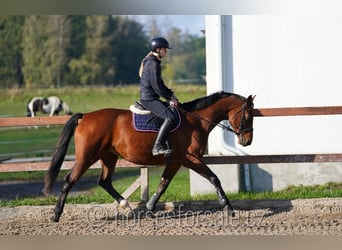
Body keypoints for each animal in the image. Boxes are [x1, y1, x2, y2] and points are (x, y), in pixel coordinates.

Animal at [42, 92, 254, 223]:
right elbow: (214, 178)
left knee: (104, 181)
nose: (247, 141)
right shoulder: (190, 159)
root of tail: (85, 116)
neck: (195, 121)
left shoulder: (175, 161)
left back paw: (126, 206)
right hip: (86, 157)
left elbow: (163, 184)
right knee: (69, 180)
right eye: (248, 116)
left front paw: (150, 209)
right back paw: (56, 214)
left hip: (108, 156)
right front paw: (228, 208)